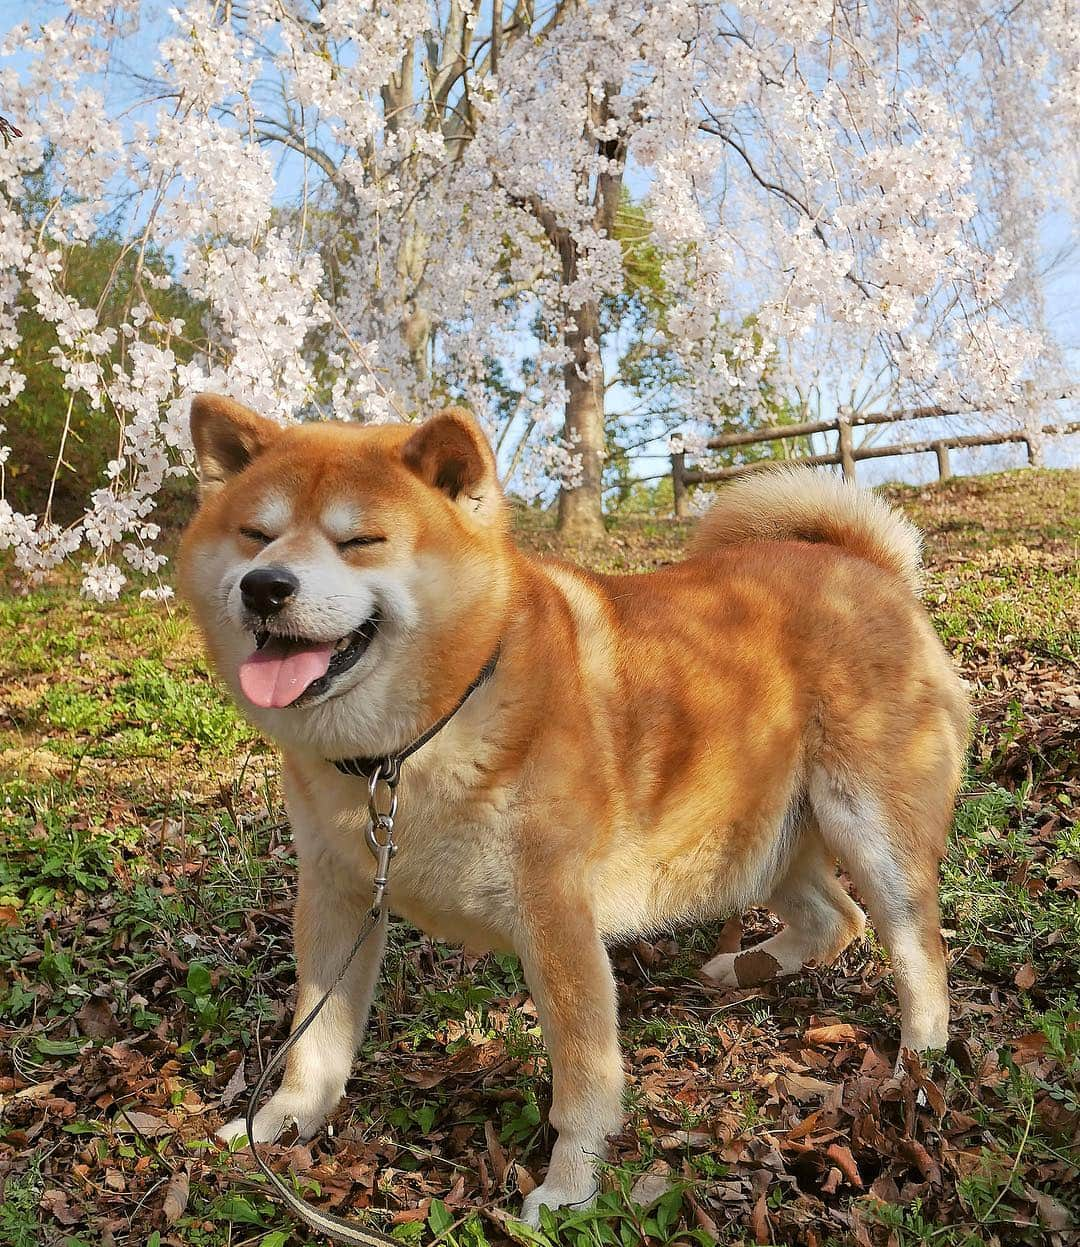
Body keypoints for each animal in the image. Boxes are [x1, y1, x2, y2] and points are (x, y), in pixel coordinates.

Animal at [177, 394, 967, 1222]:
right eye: (255, 534)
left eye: (359, 540)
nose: (264, 585)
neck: (413, 745)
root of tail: (868, 565)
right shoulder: (337, 896)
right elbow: (315, 1039)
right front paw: (281, 1122)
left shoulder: (554, 912)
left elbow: (583, 1073)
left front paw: (569, 1185)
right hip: (752, 841)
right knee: (835, 917)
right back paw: (748, 965)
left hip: (866, 826)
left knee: (917, 947)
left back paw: (917, 1064)